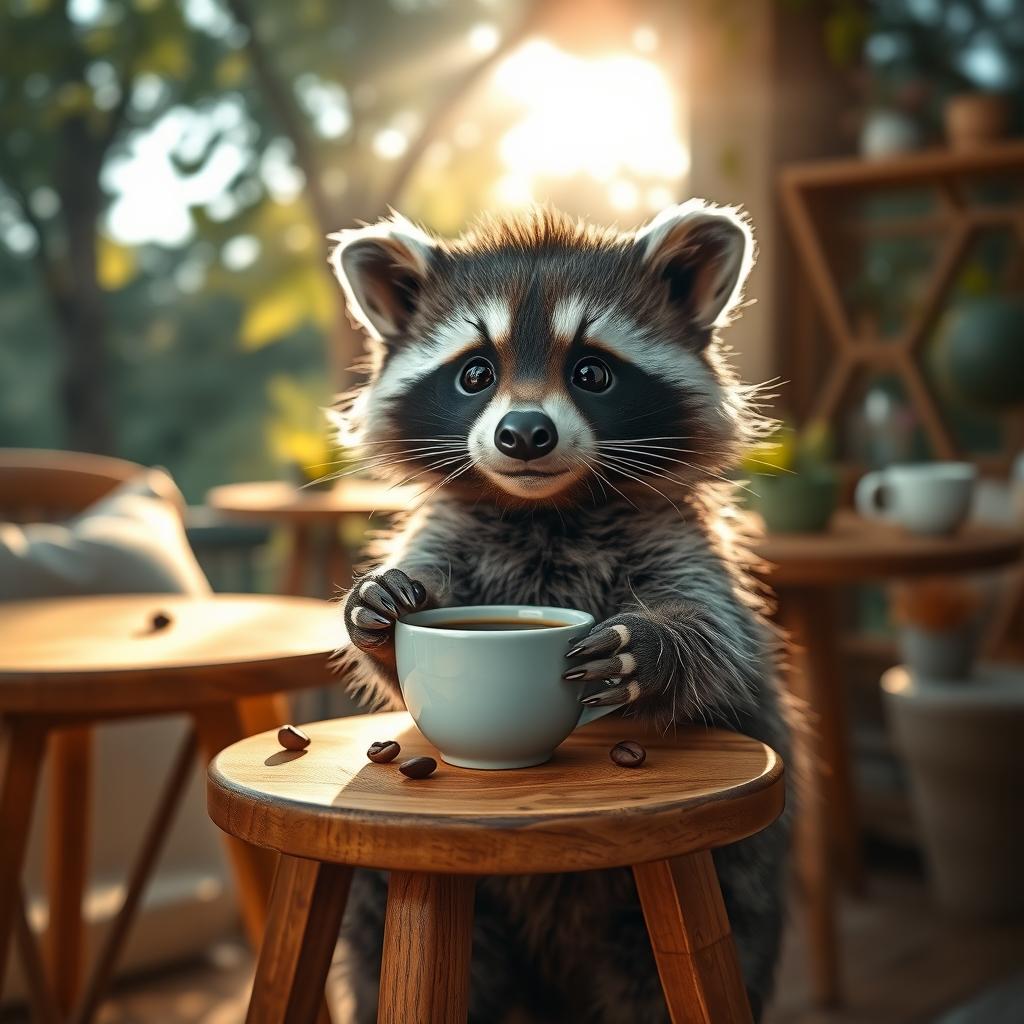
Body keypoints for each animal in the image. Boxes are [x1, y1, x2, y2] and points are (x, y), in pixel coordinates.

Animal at [328, 201, 790, 1023]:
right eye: (475, 373)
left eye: (592, 373)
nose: (523, 435)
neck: (546, 508)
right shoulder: (454, 529)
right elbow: (400, 638)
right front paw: (377, 608)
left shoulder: (677, 538)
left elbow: (719, 639)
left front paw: (656, 645)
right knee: (387, 924)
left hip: (731, 881)